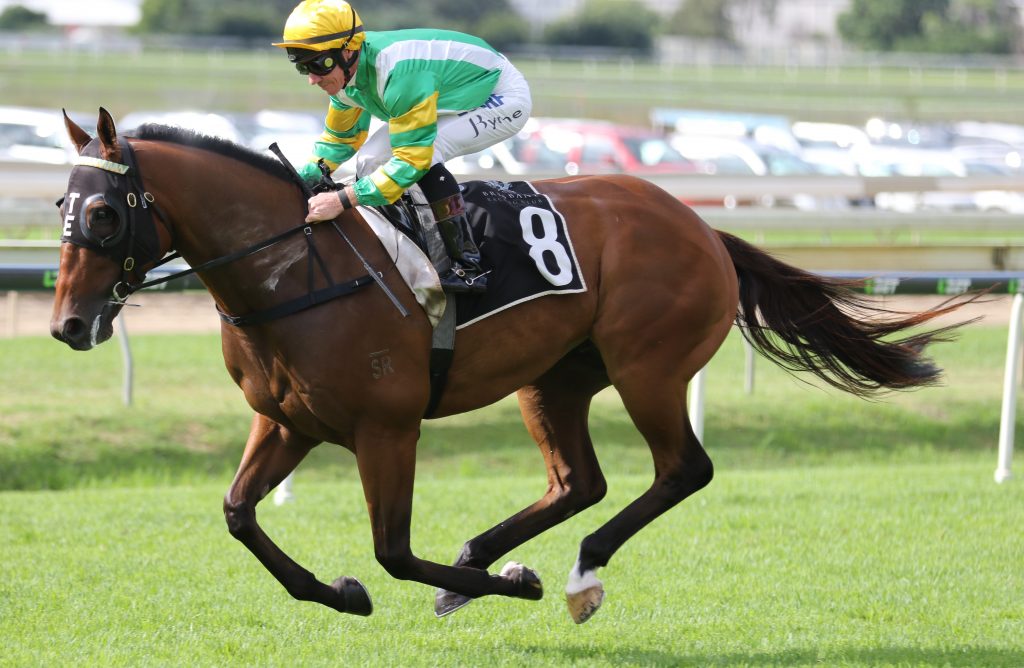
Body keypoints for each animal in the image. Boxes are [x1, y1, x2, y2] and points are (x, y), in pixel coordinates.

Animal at [51, 108, 971, 624]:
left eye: (102, 214)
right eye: (59, 205)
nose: (67, 324)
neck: (292, 270)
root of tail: (702, 226)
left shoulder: (387, 428)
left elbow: (392, 552)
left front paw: (510, 586)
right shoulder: (286, 421)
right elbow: (240, 515)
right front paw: (343, 592)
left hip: (649, 367)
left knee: (682, 470)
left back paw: (573, 575)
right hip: (555, 376)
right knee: (579, 481)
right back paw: (478, 564)